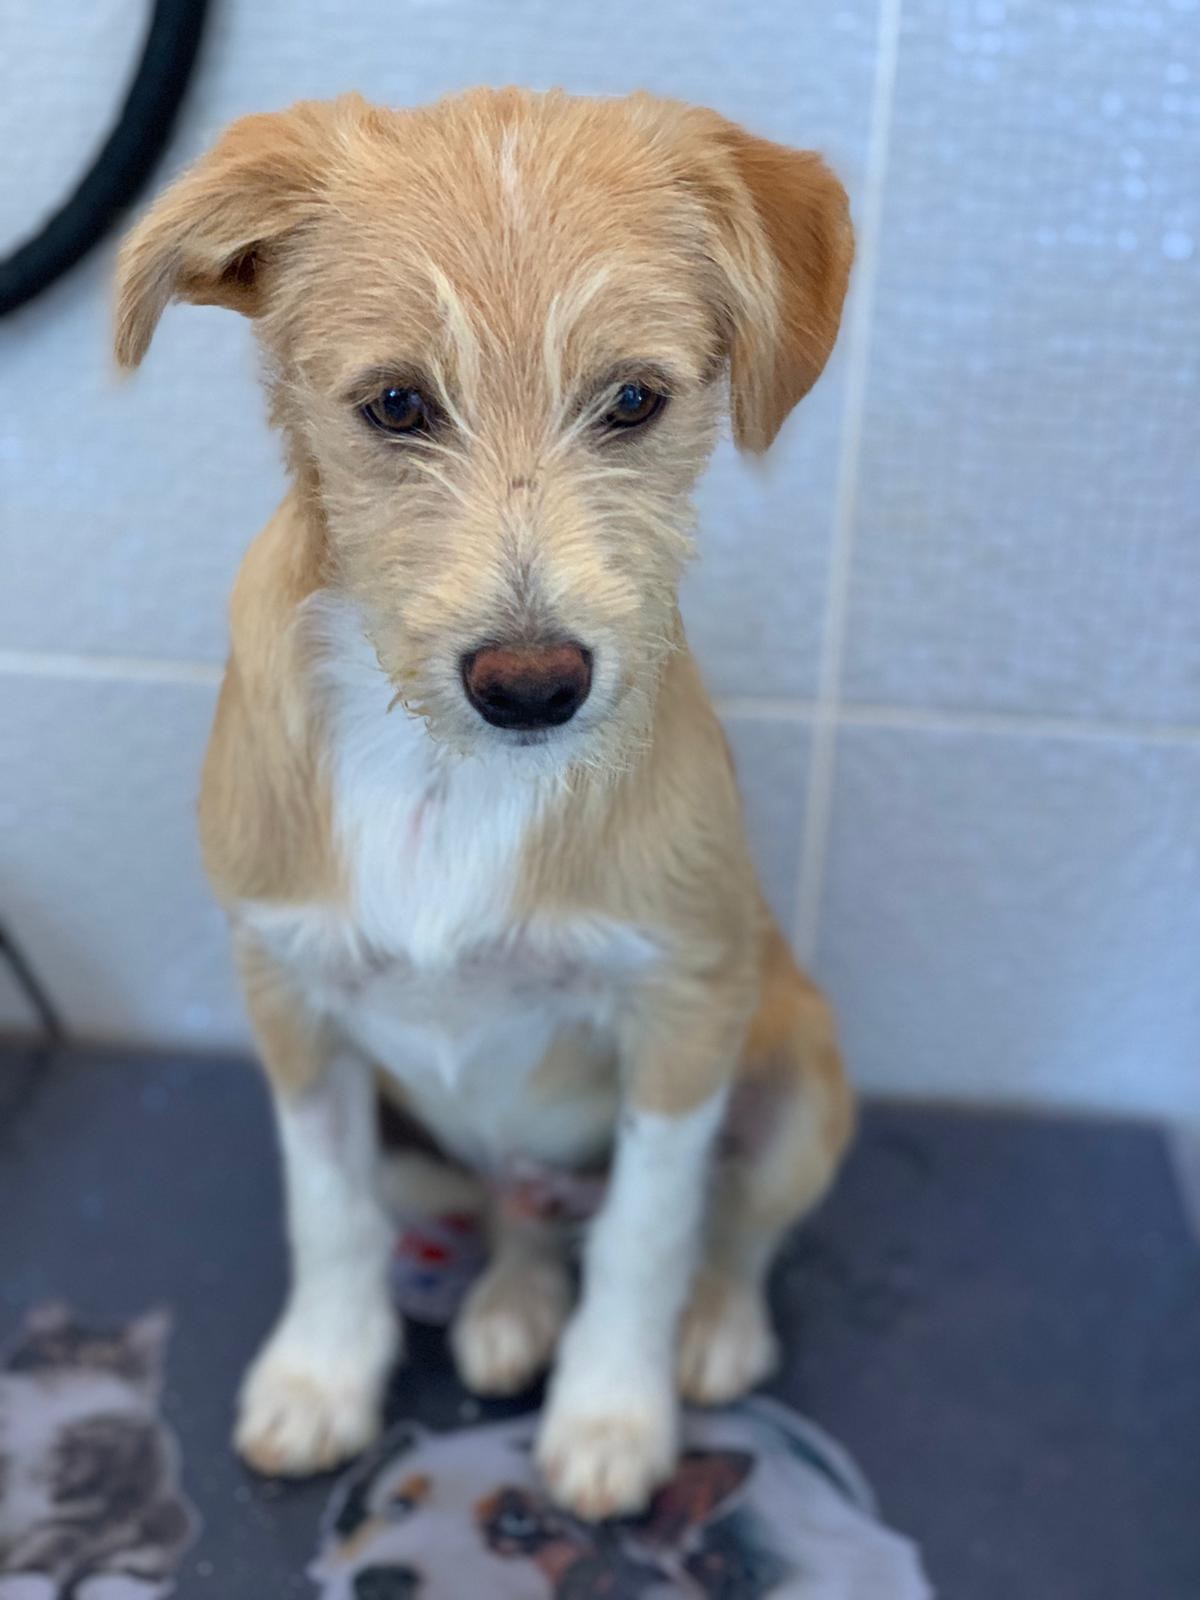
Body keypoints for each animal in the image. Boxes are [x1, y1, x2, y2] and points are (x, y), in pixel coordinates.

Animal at [0, 1304, 197, 1599]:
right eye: (55, 1351)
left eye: (108, 1358)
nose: (77, 1367)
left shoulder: (88, 1503)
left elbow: (46, 1546)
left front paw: (21, 1584)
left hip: (163, 1516)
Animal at [114, 86, 855, 1520]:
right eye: (398, 404)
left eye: (634, 400)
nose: (532, 685)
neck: (448, 775)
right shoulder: (286, 993)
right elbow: (326, 1210)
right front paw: (320, 1374)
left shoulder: (683, 1009)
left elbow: (651, 1227)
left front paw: (613, 1411)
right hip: (429, 1141)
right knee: (512, 1218)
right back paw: (511, 1304)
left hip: (802, 1067)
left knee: (734, 1228)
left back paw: (711, 1328)